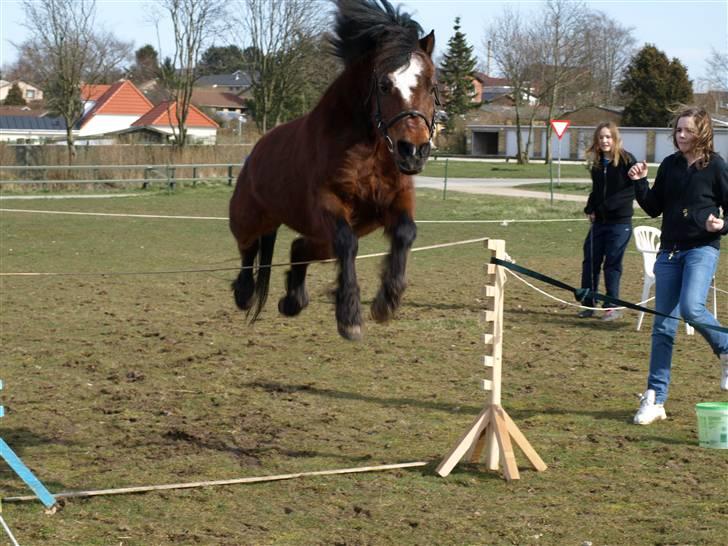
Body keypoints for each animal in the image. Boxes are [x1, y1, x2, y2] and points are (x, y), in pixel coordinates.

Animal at [229, 0, 438, 338]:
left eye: (432, 86)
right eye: (384, 85)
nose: (414, 150)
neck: (370, 149)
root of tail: (256, 151)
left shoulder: (395, 200)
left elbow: (406, 232)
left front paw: (386, 303)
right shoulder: (329, 203)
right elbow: (347, 243)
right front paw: (349, 316)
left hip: (318, 237)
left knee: (299, 248)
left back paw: (293, 301)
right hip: (248, 218)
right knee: (249, 249)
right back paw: (245, 293)